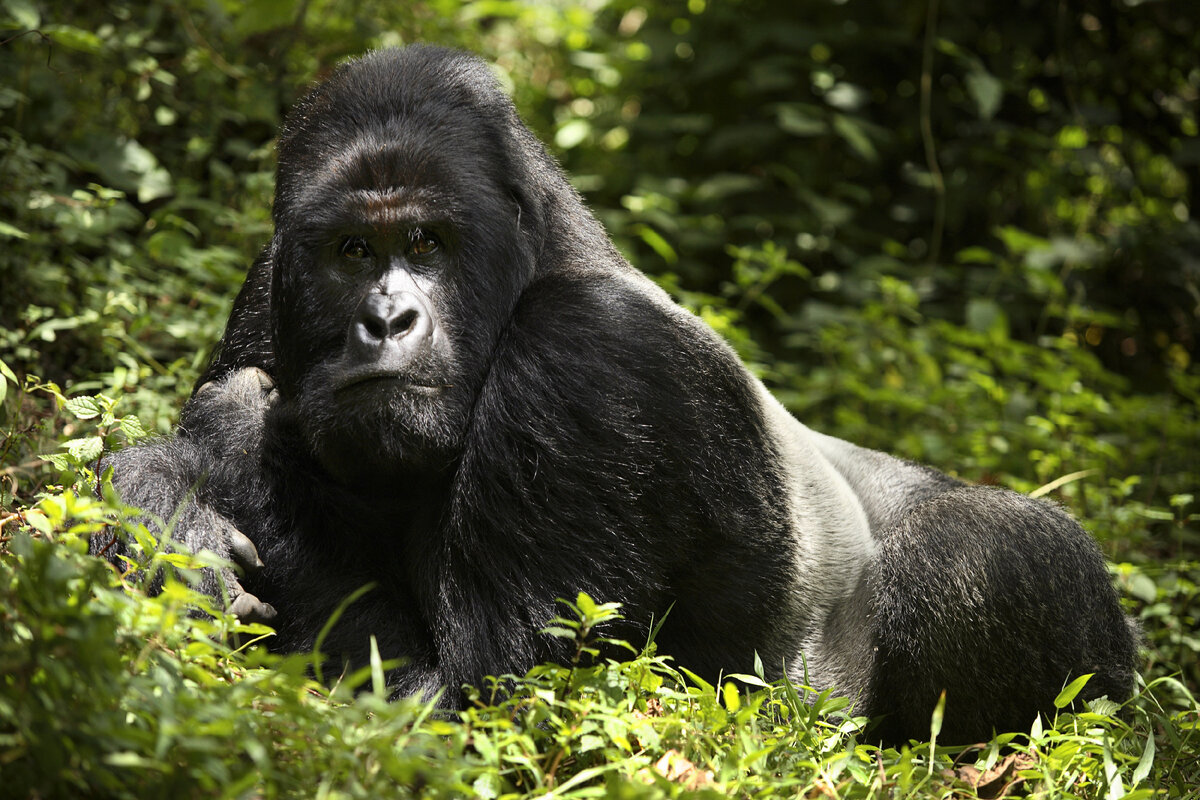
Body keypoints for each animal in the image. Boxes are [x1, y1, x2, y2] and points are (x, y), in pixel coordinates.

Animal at [93, 43, 1132, 743]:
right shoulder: (270, 279)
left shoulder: (589, 352)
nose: (386, 321)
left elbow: (490, 703)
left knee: (991, 552)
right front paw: (157, 504)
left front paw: (230, 436)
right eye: (352, 251)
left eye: (426, 242)